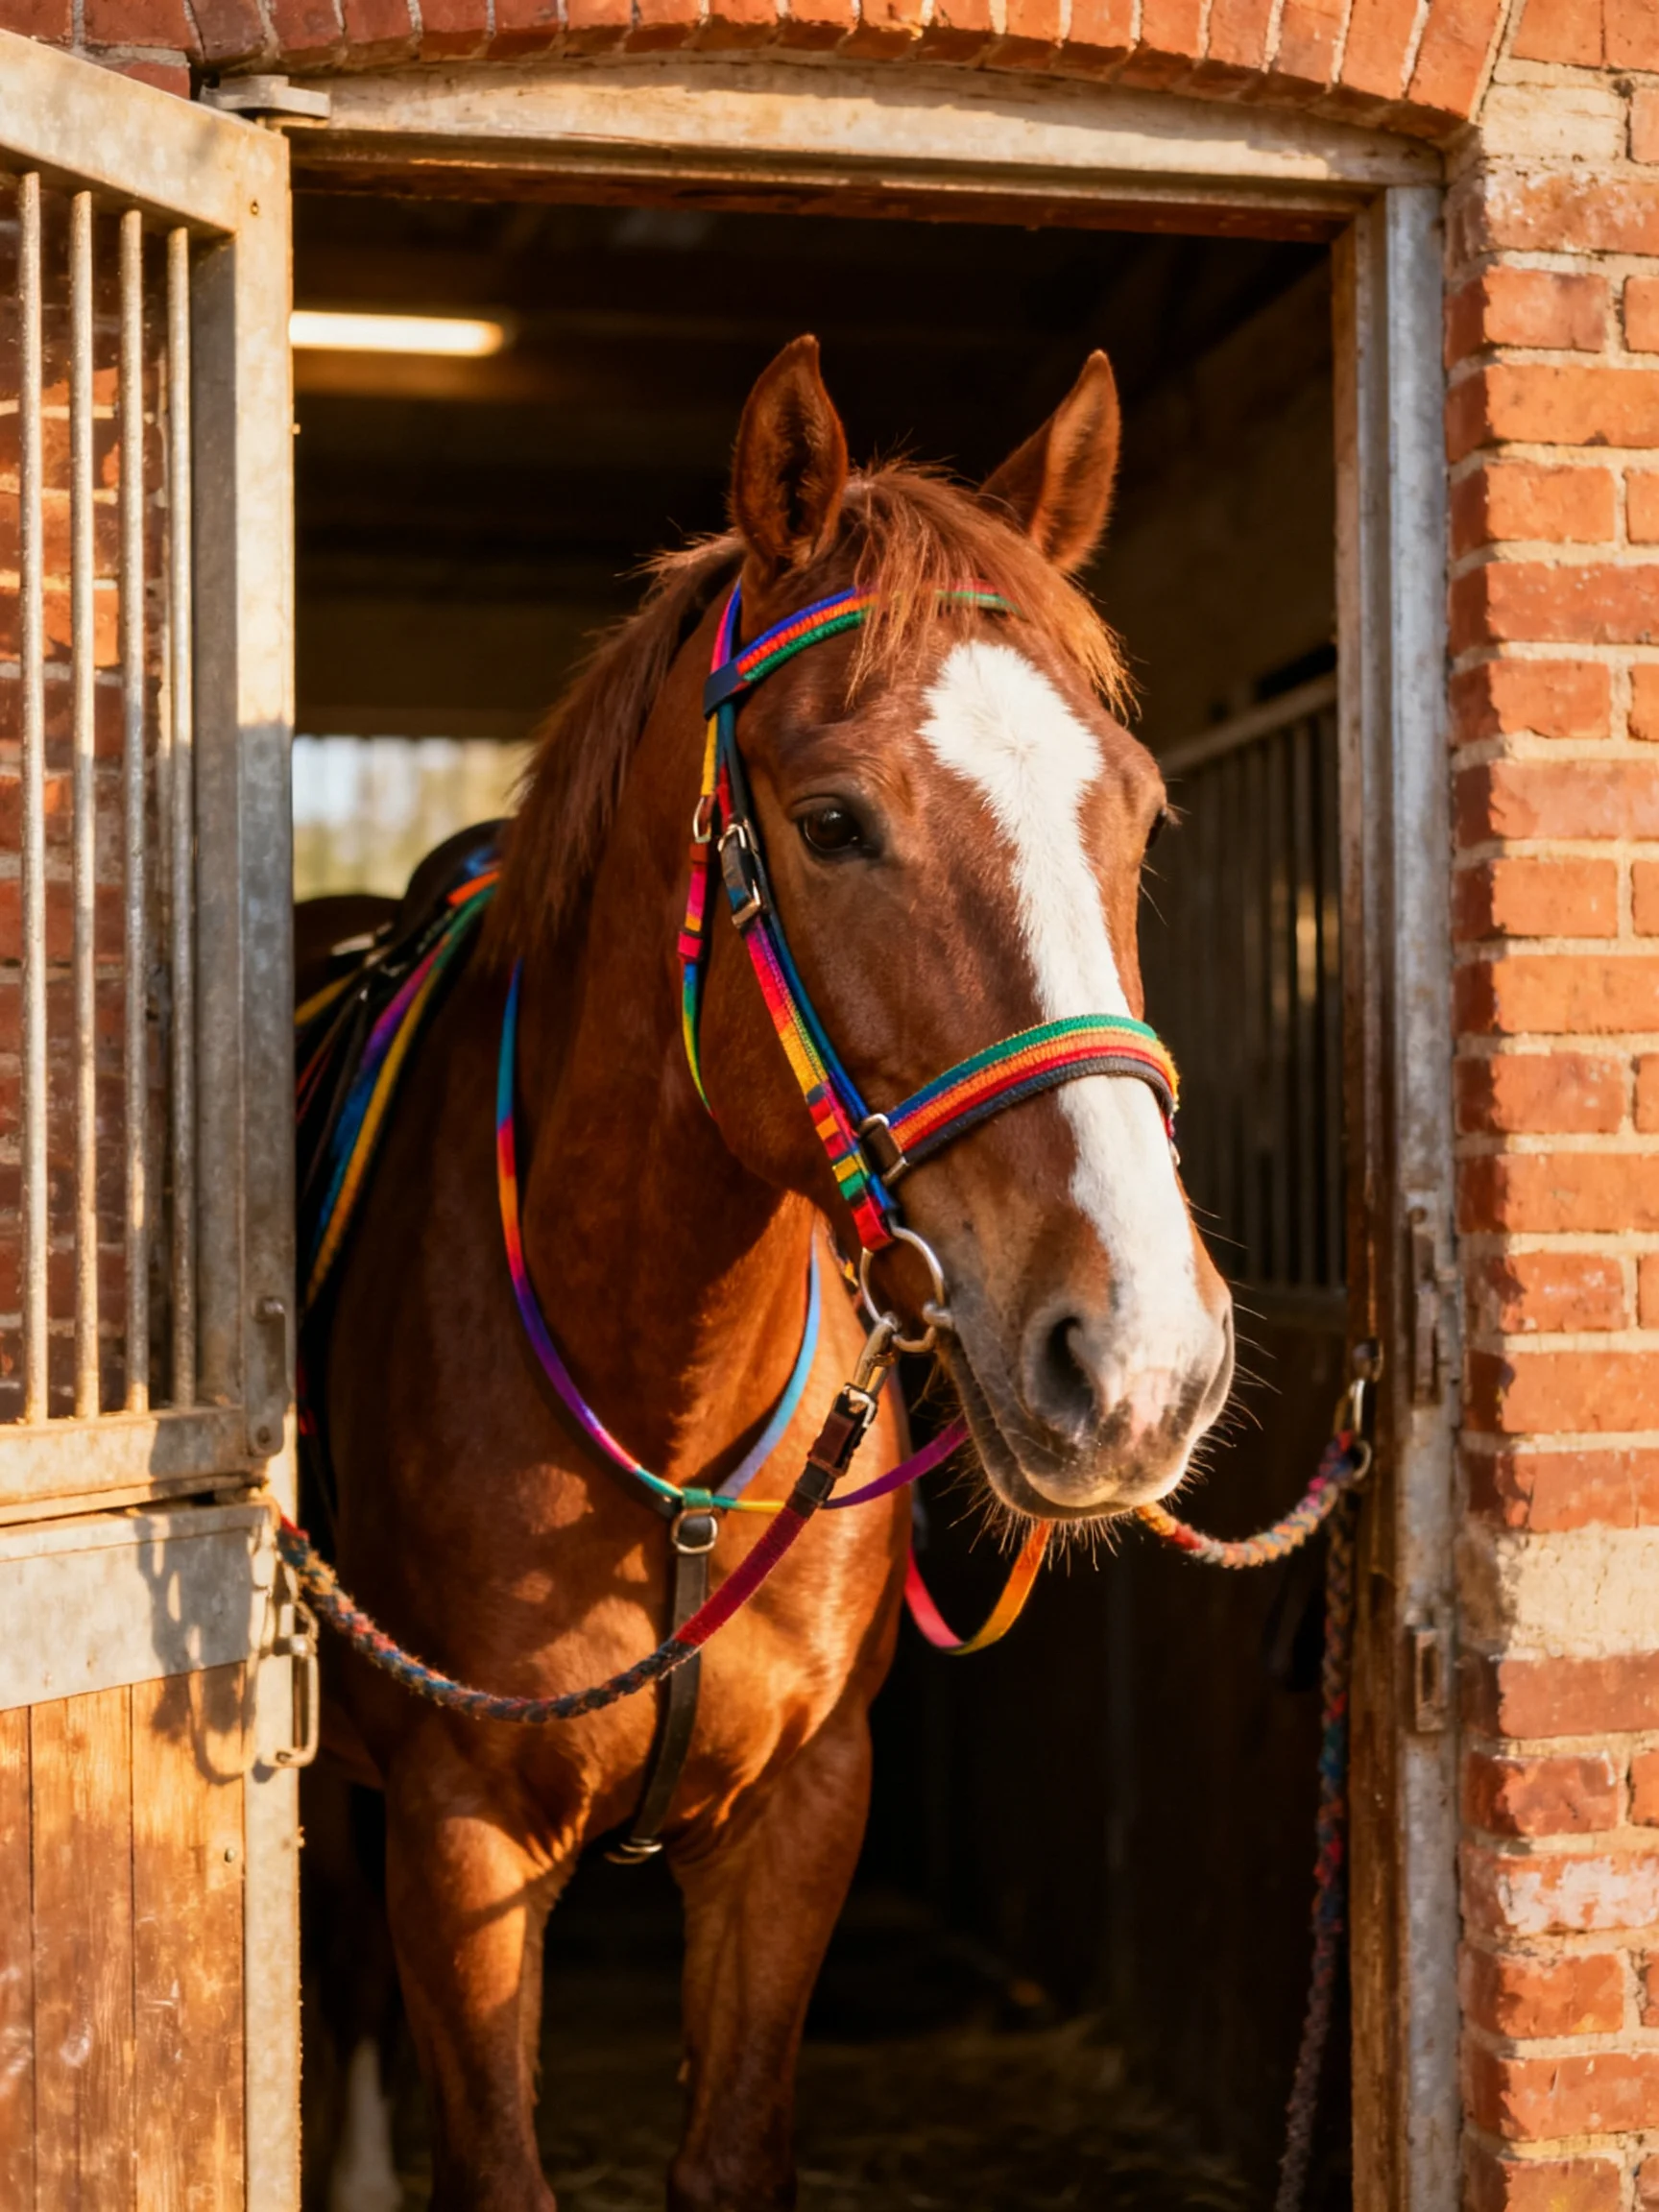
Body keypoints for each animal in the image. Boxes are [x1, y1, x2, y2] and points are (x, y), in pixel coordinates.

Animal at [306, 334, 1235, 2212]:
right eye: (831, 821)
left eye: (1138, 810)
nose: (1142, 1363)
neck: (662, 1361)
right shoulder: (460, 1841)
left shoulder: (800, 1818)